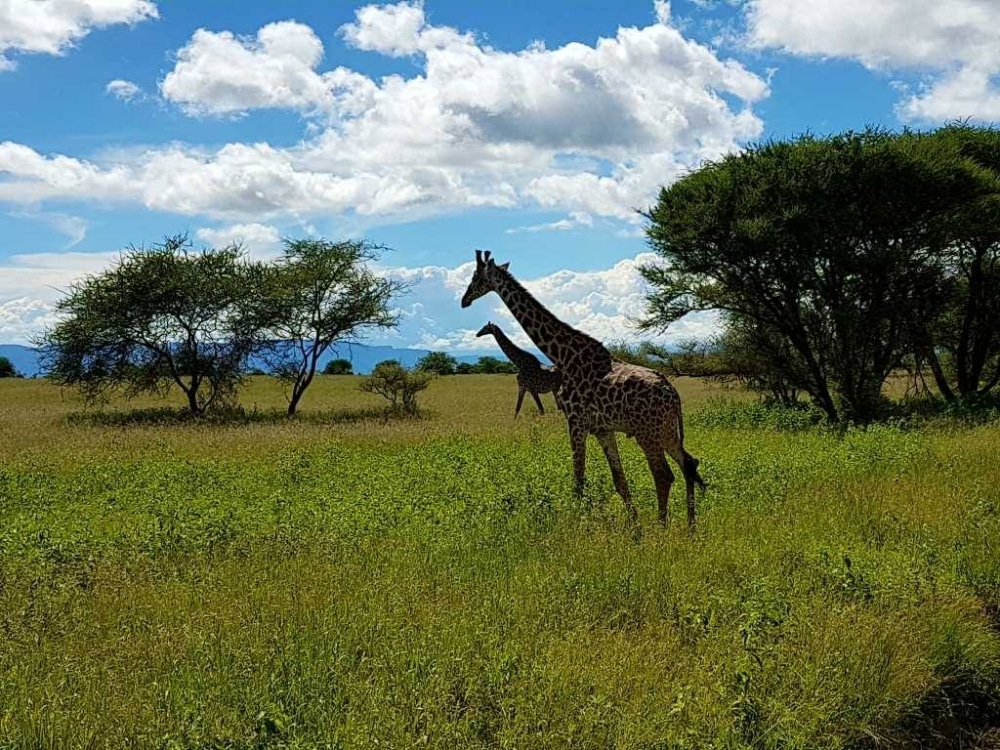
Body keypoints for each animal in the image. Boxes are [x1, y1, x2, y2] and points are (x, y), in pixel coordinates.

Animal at [460, 251, 704, 528]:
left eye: (476, 277)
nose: (464, 300)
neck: (563, 355)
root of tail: (673, 395)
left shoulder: (576, 422)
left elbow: (578, 479)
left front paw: (575, 524)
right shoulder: (602, 429)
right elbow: (619, 480)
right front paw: (635, 525)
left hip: (648, 432)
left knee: (663, 474)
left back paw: (662, 526)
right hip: (667, 431)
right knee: (689, 463)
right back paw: (691, 526)